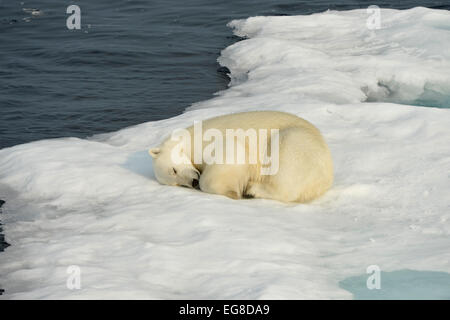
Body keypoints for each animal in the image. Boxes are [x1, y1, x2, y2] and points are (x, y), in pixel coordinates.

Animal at [149, 111, 332, 202]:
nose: (193, 182)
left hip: (297, 144)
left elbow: (231, 154)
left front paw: (233, 192)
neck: (190, 139)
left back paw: (253, 189)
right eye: (177, 184)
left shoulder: (212, 141)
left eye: (173, 170)